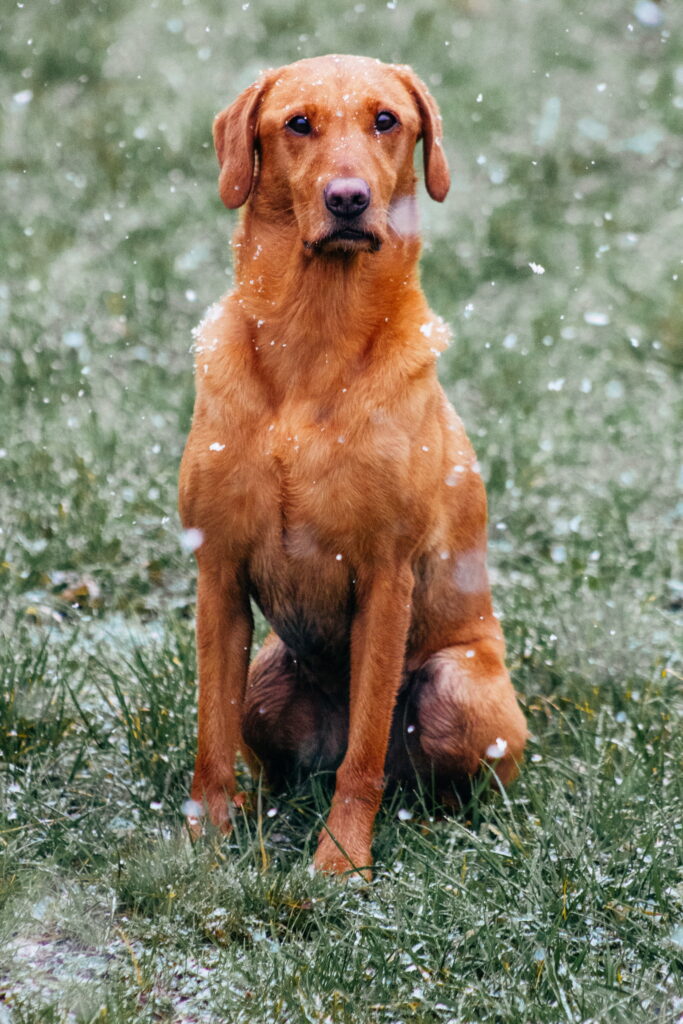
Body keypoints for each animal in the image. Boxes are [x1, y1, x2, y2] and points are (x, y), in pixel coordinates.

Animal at [179, 51, 528, 876]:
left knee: (433, 779)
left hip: (457, 686)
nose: (347, 200)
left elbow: (362, 756)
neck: (315, 335)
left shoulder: (385, 577)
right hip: (266, 680)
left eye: (386, 120)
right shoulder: (217, 571)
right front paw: (203, 844)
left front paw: (341, 861)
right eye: (298, 123)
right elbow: (210, 740)